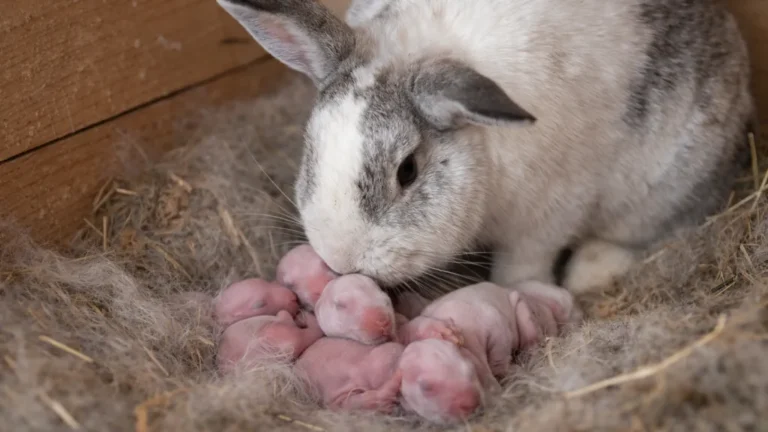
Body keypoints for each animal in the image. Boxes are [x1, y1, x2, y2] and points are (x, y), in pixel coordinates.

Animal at [217, 0, 755, 296]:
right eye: (312, 145)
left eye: (407, 170)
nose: (341, 261)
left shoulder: (549, 215)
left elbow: (524, 264)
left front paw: (517, 295)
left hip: (668, 183)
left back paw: (591, 272)